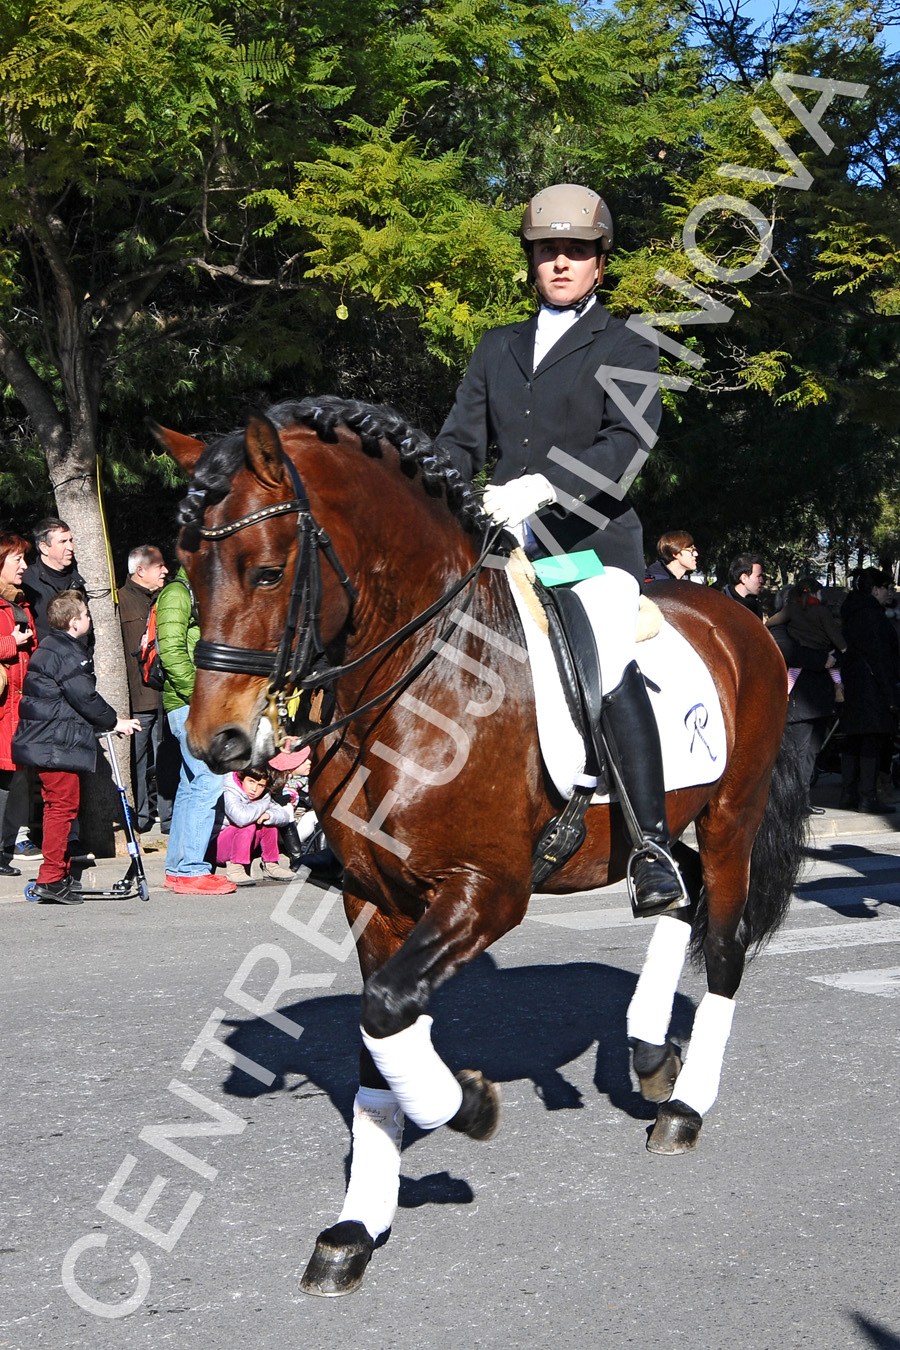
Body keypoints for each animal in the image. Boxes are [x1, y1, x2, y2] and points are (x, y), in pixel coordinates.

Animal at [151, 396, 804, 1296]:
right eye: (185, 564)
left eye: (266, 573)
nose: (219, 743)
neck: (427, 682)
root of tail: (743, 617)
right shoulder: (371, 895)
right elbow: (377, 1029)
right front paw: (356, 1227)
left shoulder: (487, 889)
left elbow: (388, 1009)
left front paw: (466, 1104)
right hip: (677, 822)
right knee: (679, 891)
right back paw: (646, 1049)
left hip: (733, 812)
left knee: (727, 940)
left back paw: (683, 1106)